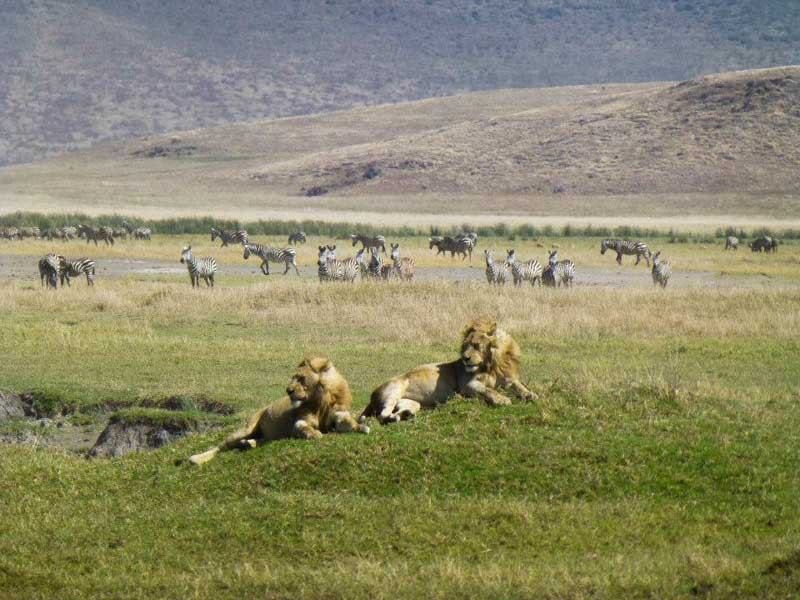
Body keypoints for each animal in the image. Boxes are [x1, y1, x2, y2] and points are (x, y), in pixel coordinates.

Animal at [188, 356, 368, 464]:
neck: (320, 401)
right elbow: (303, 426)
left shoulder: (339, 413)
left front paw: (361, 427)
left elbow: (347, 421)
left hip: (271, 435)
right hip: (246, 428)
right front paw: (315, 434)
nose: (288, 390)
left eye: (301, 378)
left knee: (262, 439)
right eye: (293, 377)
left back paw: (249, 444)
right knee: (221, 446)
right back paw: (197, 459)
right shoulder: (299, 422)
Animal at [360, 316, 536, 424]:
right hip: (395, 389)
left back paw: (405, 416)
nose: (465, 358)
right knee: (382, 414)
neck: (491, 365)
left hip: (412, 403)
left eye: (476, 346)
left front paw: (530, 394)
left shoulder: (507, 379)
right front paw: (502, 399)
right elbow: (488, 390)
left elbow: (518, 386)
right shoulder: (467, 385)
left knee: (394, 413)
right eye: (465, 346)